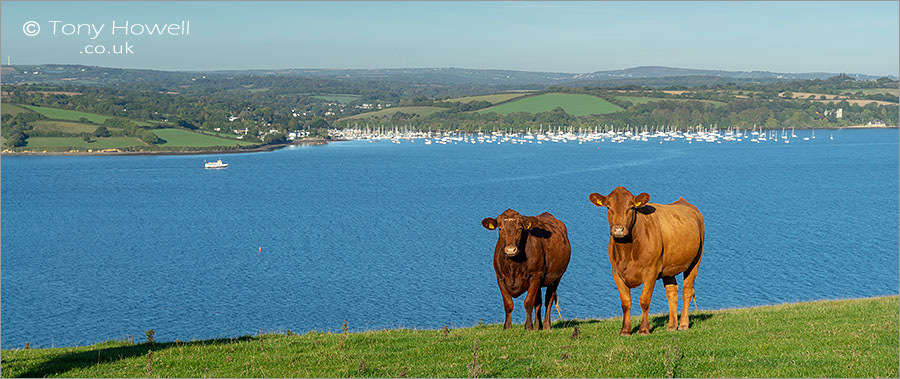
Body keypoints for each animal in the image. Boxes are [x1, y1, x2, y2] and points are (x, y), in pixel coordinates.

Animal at [588, 187, 708, 336]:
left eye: (631, 207)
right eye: (608, 207)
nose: (619, 230)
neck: (627, 251)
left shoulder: (651, 271)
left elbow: (644, 300)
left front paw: (644, 329)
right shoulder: (616, 272)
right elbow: (625, 303)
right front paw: (625, 330)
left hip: (695, 261)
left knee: (687, 291)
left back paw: (683, 324)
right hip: (669, 268)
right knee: (672, 292)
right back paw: (671, 325)